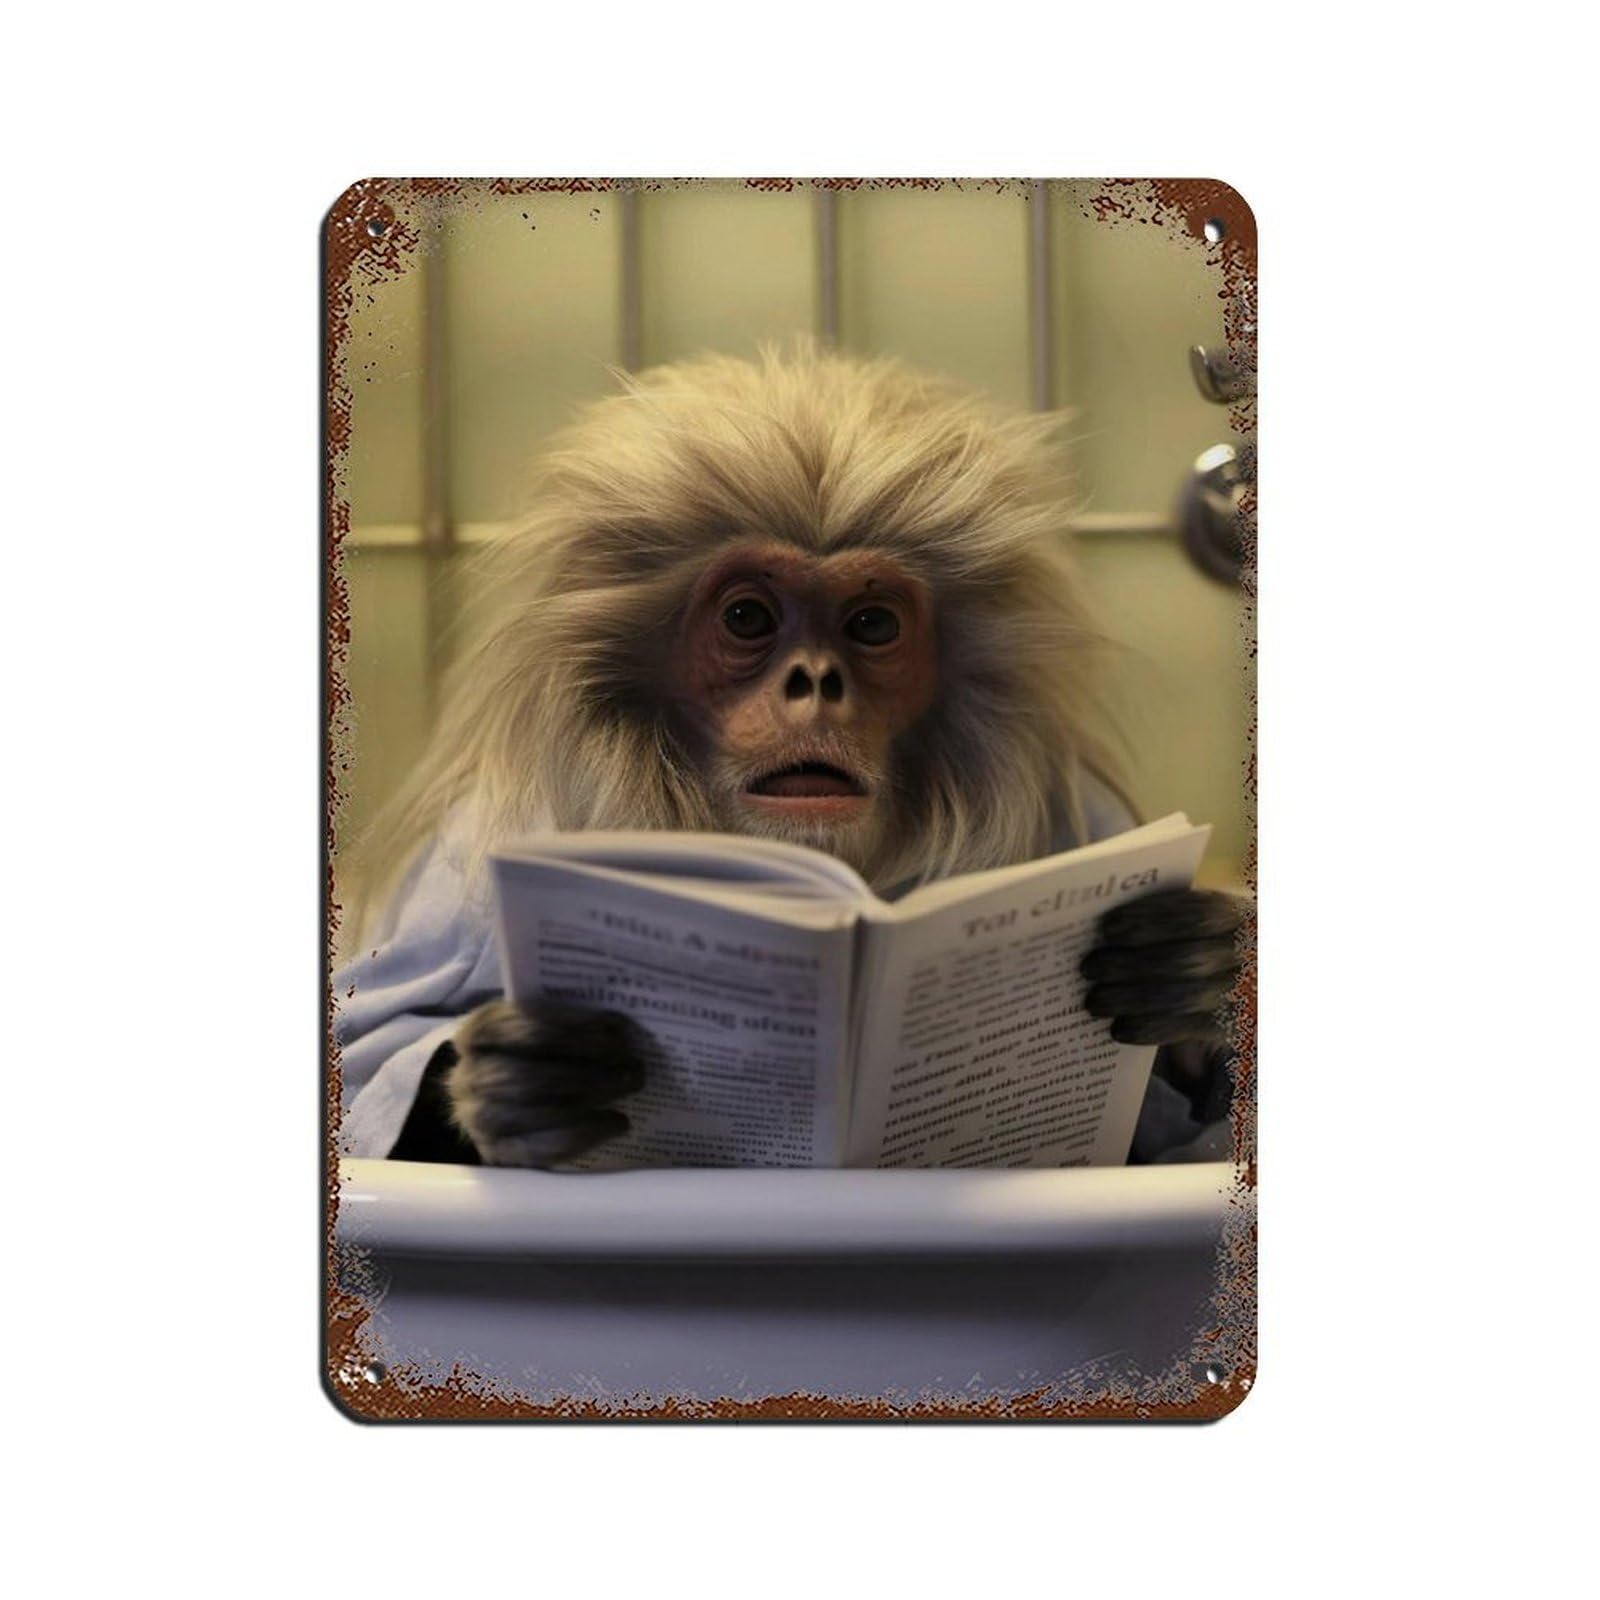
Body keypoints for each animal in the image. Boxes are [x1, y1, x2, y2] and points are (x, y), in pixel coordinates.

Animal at [335, 344, 1247, 1170]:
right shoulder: (466, 862)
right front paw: (519, 1084)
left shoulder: (1090, 813)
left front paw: (1194, 978)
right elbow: (365, 1051)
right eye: (748, 617)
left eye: (871, 625)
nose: (815, 681)